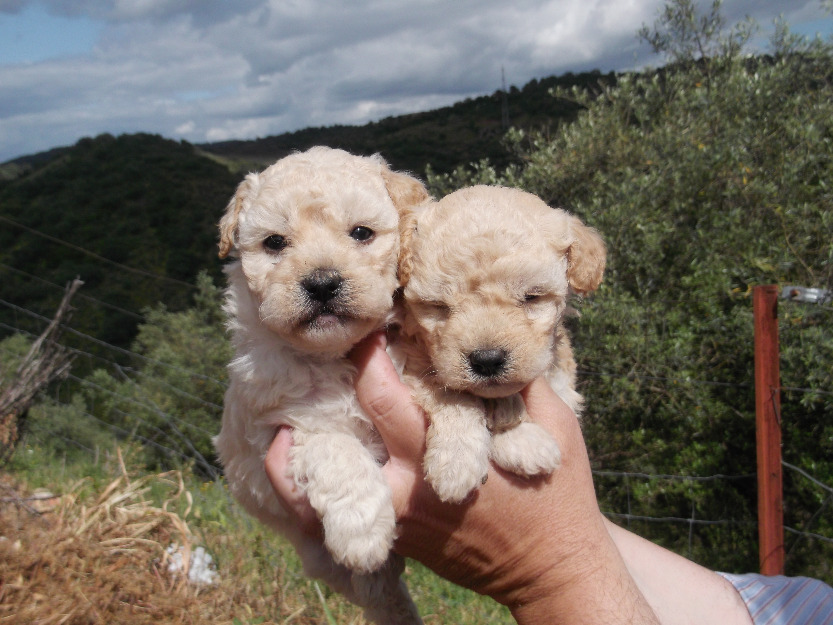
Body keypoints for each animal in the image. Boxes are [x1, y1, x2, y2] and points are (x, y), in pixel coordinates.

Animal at [214, 147, 426, 624]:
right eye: (275, 242)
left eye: (361, 233)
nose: (322, 283)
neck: (333, 356)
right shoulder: (280, 428)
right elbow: (335, 448)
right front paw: (363, 531)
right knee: (380, 592)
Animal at [396, 184, 604, 502]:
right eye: (438, 306)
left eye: (532, 297)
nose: (487, 359)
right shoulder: (411, 357)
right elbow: (451, 393)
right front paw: (456, 462)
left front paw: (518, 437)